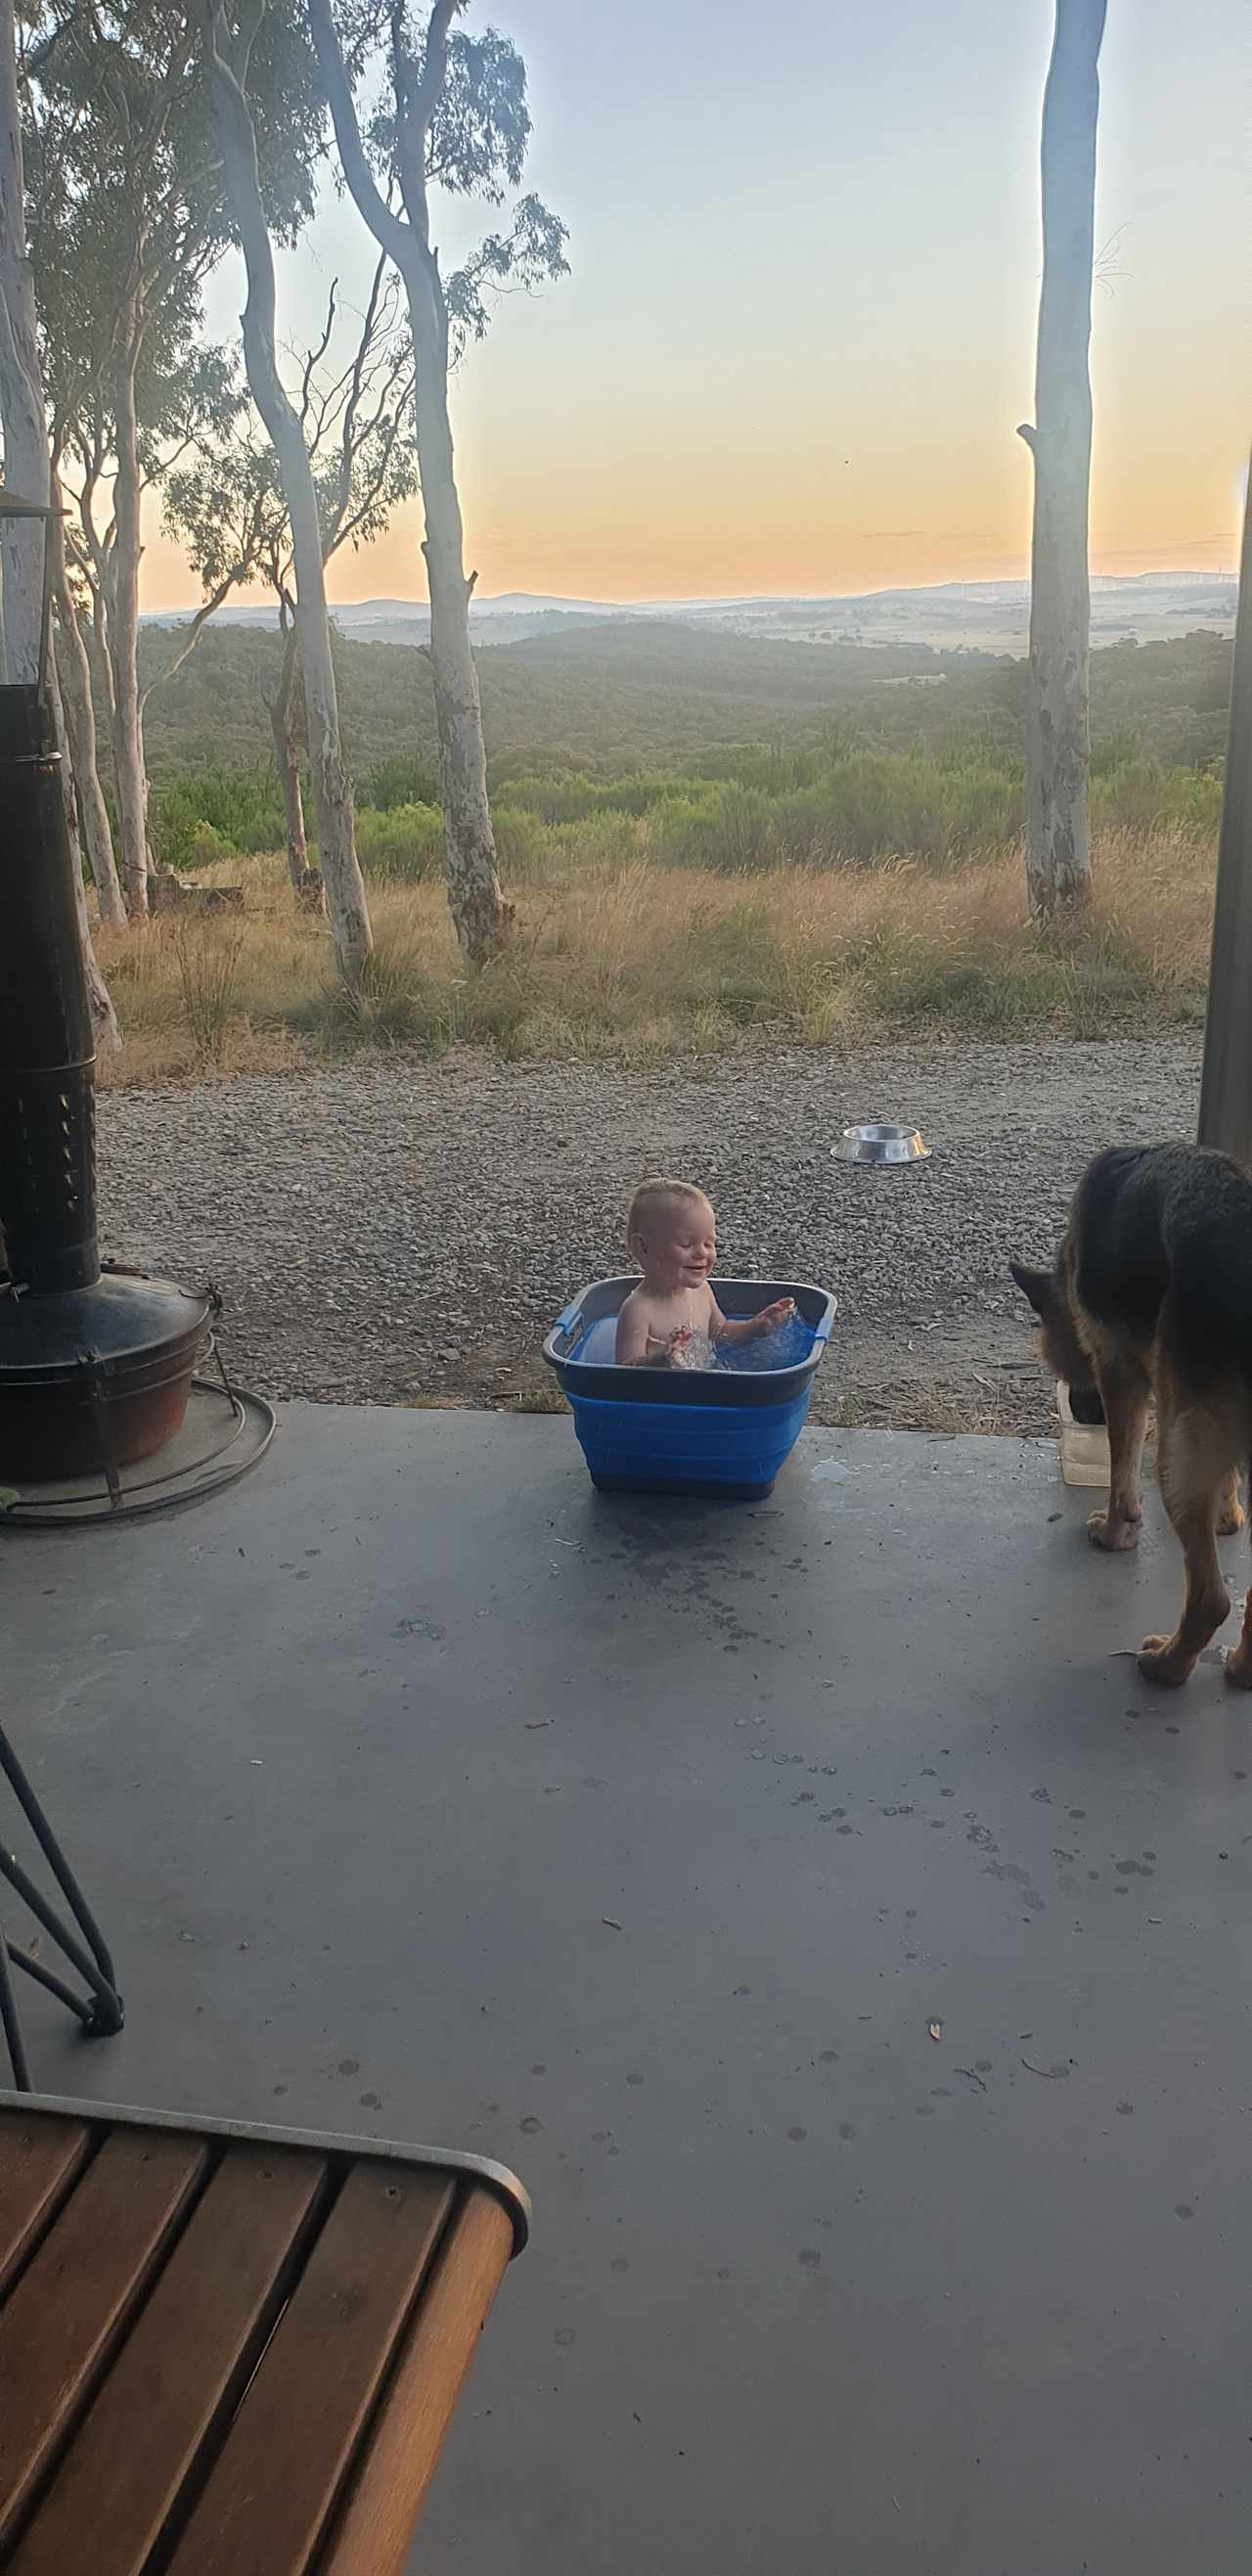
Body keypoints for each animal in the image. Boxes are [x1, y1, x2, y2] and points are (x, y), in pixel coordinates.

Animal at [1009, 1149, 1252, 1690]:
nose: (1081, 1410)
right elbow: (1228, 1482)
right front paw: (1228, 1515)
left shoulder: (1119, 1376)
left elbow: (1122, 1476)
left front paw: (1115, 1534)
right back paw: (1242, 1669)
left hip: (1174, 1456)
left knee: (1211, 1600)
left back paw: (1167, 1665)